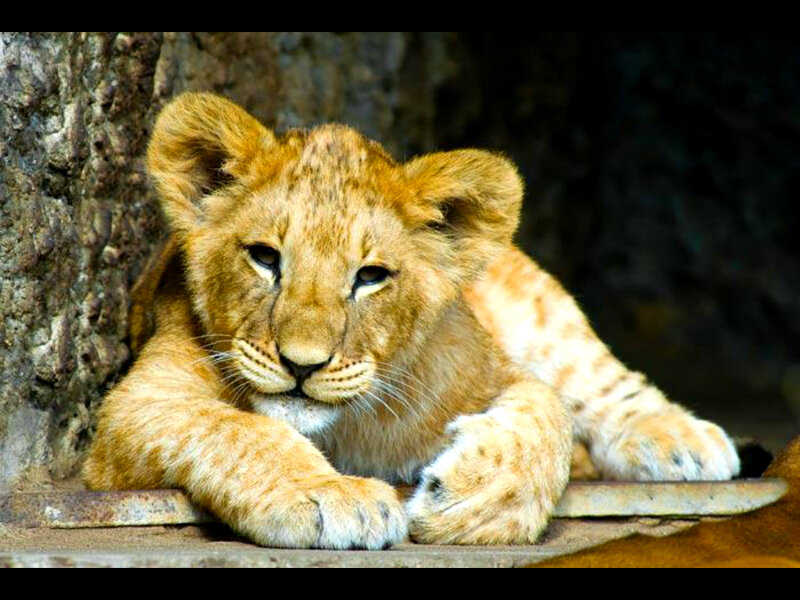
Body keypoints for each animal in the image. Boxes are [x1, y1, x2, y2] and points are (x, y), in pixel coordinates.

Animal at [83, 92, 740, 549]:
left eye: (370, 276)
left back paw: (681, 441)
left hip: (540, 306)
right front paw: (335, 495)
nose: (301, 364)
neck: (341, 430)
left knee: (600, 380)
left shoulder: (487, 370)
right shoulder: (134, 408)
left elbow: (547, 410)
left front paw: (476, 504)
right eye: (265, 258)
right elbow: (238, 430)